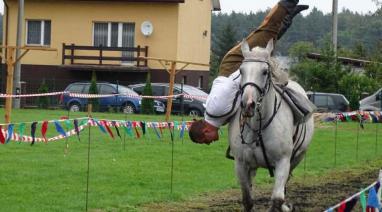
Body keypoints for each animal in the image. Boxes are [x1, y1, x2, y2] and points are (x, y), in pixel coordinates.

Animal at [228, 39, 314, 210]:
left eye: (264, 72)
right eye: (241, 70)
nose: (248, 105)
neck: (257, 129)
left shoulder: (283, 162)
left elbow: (277, 200)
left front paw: (283, 205)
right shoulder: (241, 164)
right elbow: (248, 200)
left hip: (297, 158)